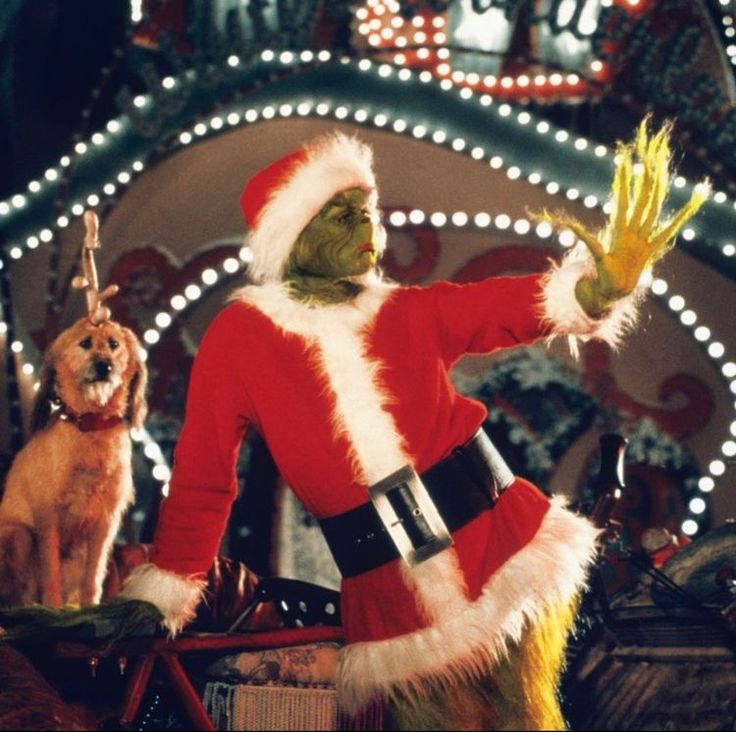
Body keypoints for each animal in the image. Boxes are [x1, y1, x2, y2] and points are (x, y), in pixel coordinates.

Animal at [0, 318, 148, 608]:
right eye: (85, 342)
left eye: (114, 344)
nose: (104, 365)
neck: (90, 426)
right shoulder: (48, 519)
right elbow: (51, 575)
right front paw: (53, 609)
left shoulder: (105, 524)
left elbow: (93, 579)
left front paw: (90, 608)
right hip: (19, 536)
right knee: (19, 596)